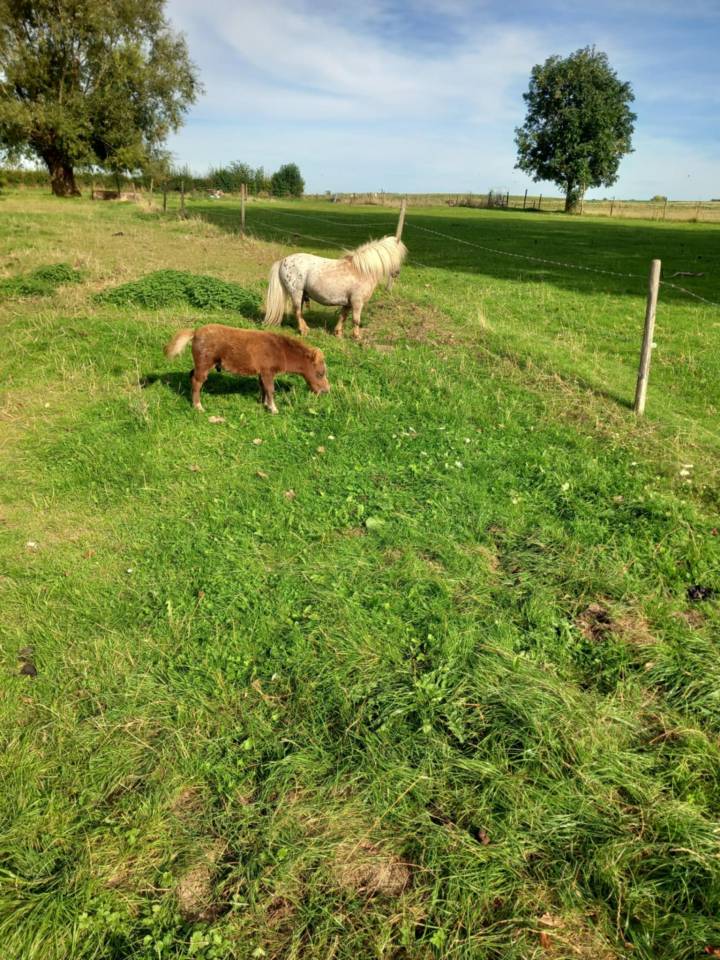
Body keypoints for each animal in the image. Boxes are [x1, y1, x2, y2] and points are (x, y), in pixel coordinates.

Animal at [164, 324, 330, 414]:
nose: (326, 391)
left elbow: (263, 388)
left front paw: (264, 404)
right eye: (320, 373)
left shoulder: (262, 373)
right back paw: (198, 406)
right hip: (205, 364)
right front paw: (274, 409)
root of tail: (195, 332)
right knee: (197, 381)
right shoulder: (268, 372)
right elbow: (270, 389)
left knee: (191, 375)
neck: (280, 350)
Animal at [263, 235, 408, 340]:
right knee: (297, 312)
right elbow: (356, 320)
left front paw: (338, 334)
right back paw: (304, 331)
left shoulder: (348, 303)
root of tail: (283, 261)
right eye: (396, 256)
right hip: (296, 293)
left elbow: (342, 317)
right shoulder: (357, 302)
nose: (397, 272)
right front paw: (357, 338)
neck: (362, 270)